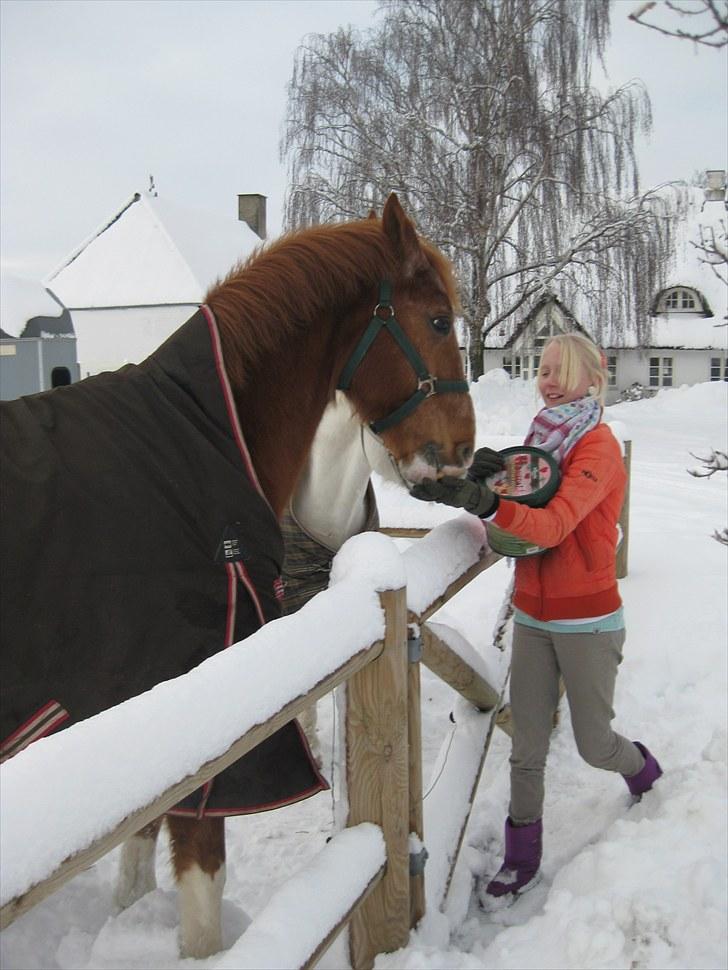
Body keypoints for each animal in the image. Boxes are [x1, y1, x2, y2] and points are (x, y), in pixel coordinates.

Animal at [0, 193, 474, 956]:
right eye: (436, 319)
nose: (462, 450)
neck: (204, 431)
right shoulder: (202, 716)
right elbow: (202, 875)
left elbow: (141, 834)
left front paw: (129, 911)